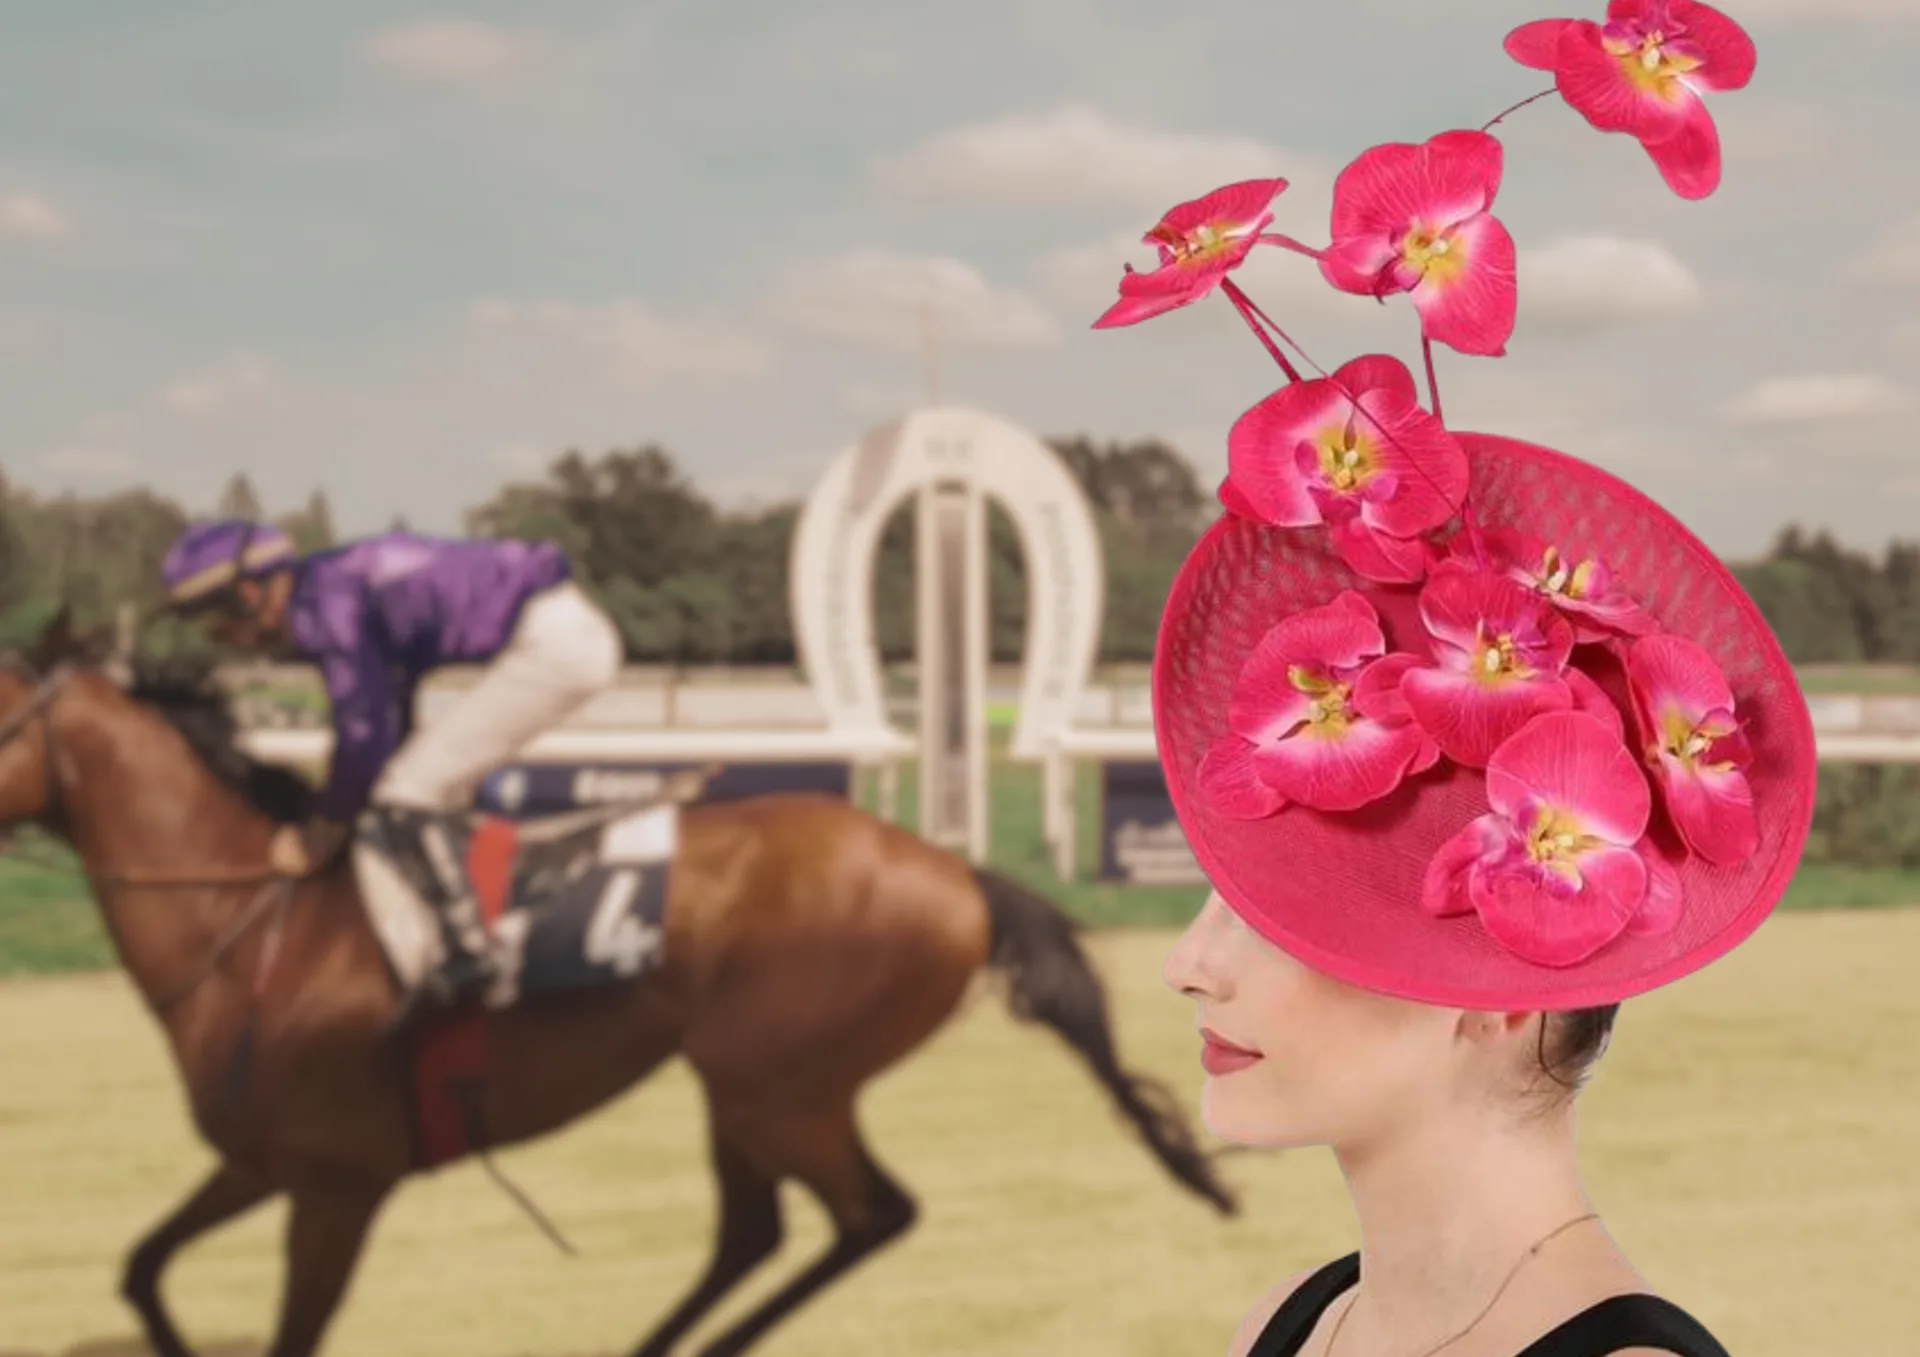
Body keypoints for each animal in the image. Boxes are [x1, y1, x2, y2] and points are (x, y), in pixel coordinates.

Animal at [0, 610, 1228, 1351]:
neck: (257, 923)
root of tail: (951, 868)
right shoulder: (263, 1160)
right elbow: (142, 1268)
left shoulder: (338, 1181)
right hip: (744, 1086)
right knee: (758, 1233)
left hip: (780, 1087)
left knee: (867, 1214)